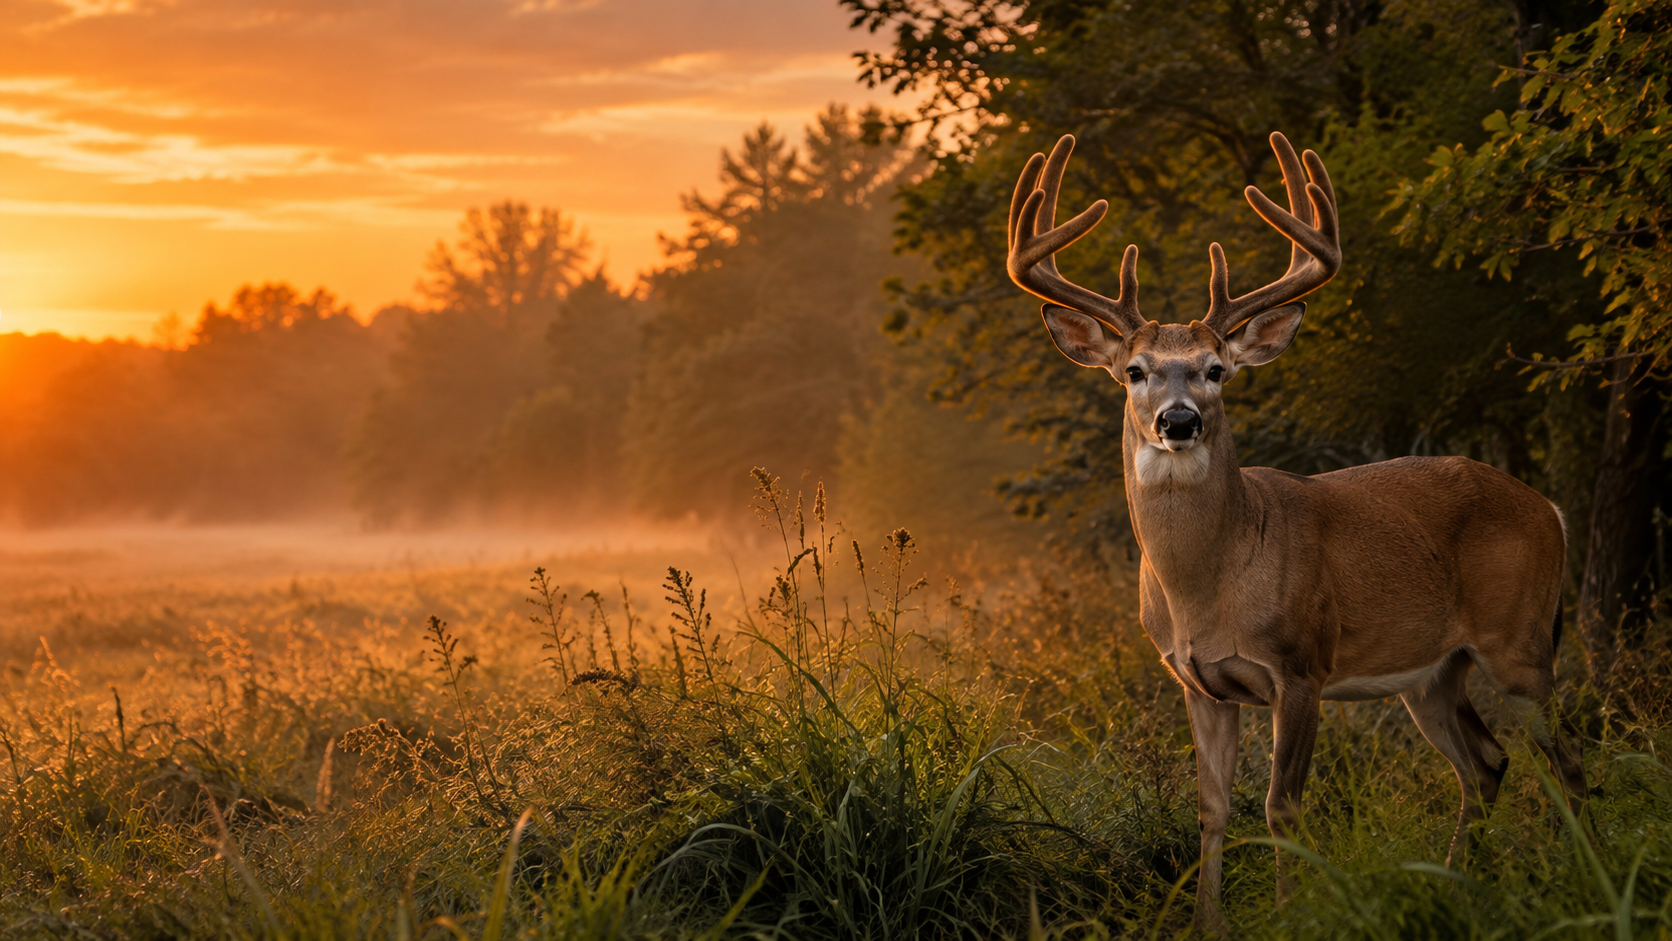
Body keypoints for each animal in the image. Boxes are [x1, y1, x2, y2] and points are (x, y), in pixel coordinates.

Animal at [1005, 132, 1587, 929]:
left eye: (1216, 369)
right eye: (1134, 371)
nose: (1179, 420)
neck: (1207, 588)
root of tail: (1550, 508)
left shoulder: (1301, 663)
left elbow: (1282, 807)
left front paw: (1290, 913)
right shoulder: (1197, 681)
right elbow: (1212, 809)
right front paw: (1207, 924)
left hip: (1521, 641)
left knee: (1568, 760)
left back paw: (1588, 871)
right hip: (1434, 671)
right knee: (1488, 763)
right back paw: (1463, 881)